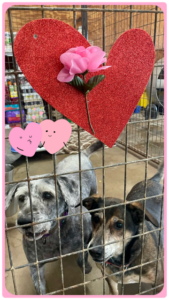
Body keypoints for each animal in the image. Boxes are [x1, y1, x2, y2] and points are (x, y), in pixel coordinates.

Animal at [4, 141, 103, 296]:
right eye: (21, 198)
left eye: (47, 195)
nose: (23, 222)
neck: (53, 235)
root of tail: (80, 154)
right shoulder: (35, 267)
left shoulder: (84, 241)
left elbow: (82, 258)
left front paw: (86, 267)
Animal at [79, 163, 164, 294]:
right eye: (96, 219)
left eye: (119, 225)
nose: (94, 251)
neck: (122, 261)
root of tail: (153, 180)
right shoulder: (109, 277)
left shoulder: (159, 282)